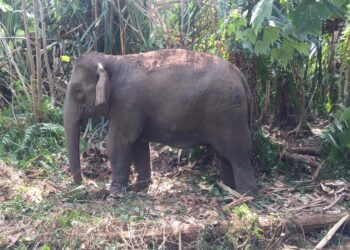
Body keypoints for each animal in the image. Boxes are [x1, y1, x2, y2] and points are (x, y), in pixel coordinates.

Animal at [63, 48, 258, 196]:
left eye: (77, 90)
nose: (82, 184)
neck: (111, 59)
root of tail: (242, 78)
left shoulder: (127, 102)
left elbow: (118, 142)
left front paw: (114, 192)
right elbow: (138, 144)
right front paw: (141, 186)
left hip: (228, 113)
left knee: (238, 153)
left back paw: (244, 195)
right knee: (225, 154)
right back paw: (227, 188)